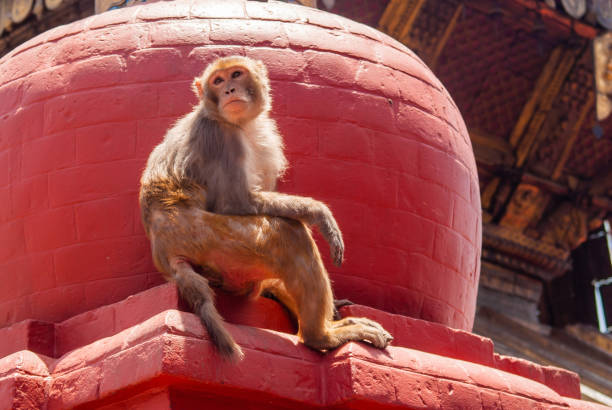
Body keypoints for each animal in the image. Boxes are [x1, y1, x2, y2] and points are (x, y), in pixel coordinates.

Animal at [140, 56, 392, 360]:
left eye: (236, 74)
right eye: (218, 81)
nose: (229, 90)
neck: (237, 123)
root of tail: (165, 253)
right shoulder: (219, 136)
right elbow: (234, 202)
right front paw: (319, 212)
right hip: (213, 241)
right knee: (288, 233)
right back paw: (320, 336)